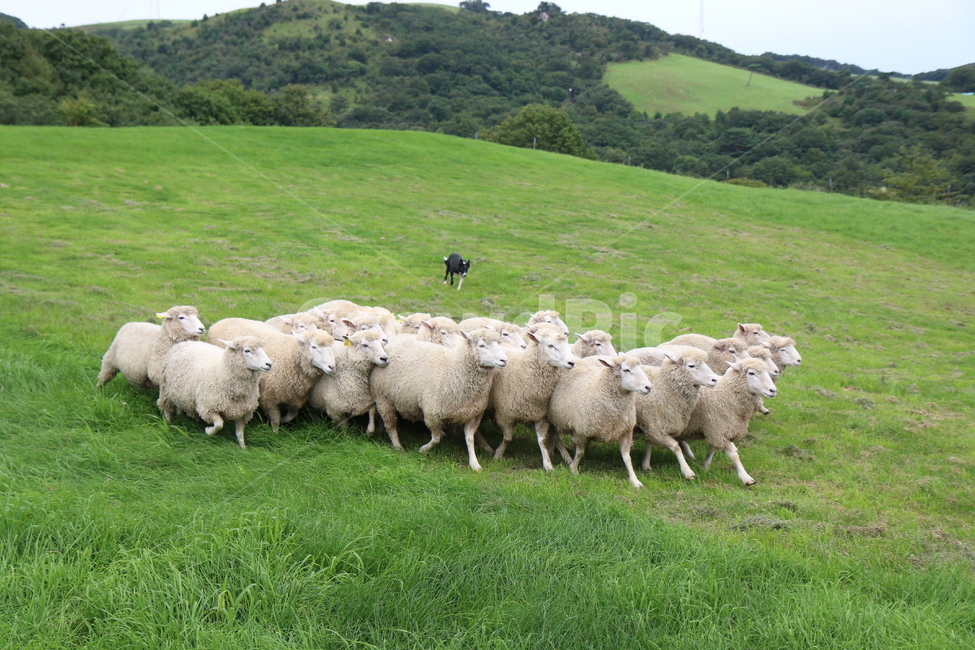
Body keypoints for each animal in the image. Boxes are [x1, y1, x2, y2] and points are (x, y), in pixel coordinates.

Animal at [369, 328, 508, 471]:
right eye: (481, 345)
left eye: (499, 343)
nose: (504, 360)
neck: (454, 369)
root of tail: (389, 346)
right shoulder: (432, 415)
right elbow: (436, 439)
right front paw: (423, 449)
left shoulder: (473, 415)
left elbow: (470, 439)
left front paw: (474, 463)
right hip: (383, 398)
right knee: (391, 424)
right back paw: (398, 446)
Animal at [486, 324, 576, 469]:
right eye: (551, 345)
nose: (571, 363)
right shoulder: (505, 415)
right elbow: (507, 438)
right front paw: (498, 455)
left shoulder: (540, 415)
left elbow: (542, 440)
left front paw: (548, 464)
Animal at [547, 354, 652, 488]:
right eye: (626, 370)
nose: (648, 387)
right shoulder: (581, 431)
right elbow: (580, 452)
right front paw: (574, 469)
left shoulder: (625, 432)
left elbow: (627, 458)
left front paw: (635, 480)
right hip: (553, 418)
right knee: (555, 436)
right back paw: (563, 456)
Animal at [633, 349, 719, 480]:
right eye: (691, 366)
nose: (715, 379)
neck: (664, 387)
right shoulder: (656, 426)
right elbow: (675, 447)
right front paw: (687, 471)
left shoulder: (652, 423)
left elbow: (650, 443)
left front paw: (646, 464)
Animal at [677, 358, 777, 486]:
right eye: (751, 373)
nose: (773, 390)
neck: (725, 394)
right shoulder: (718, 427)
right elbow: (733, 455)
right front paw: (746, 477)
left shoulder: (715, 428)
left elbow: (712, 448)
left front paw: (705, 466)